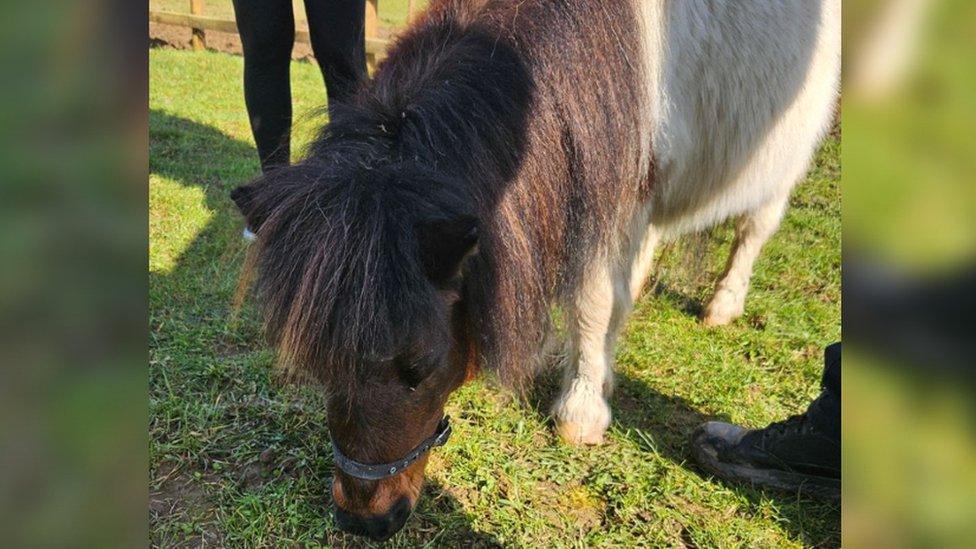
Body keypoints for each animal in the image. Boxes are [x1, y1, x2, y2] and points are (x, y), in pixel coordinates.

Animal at [233, 0, 844, 540]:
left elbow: (594, 300)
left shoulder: (619, 189)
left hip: (780, 158)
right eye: (316, 363)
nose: (365, 521)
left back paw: (722, 306)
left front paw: (582, 411)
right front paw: (598, 373)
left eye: (420, 368)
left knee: (753, 230)